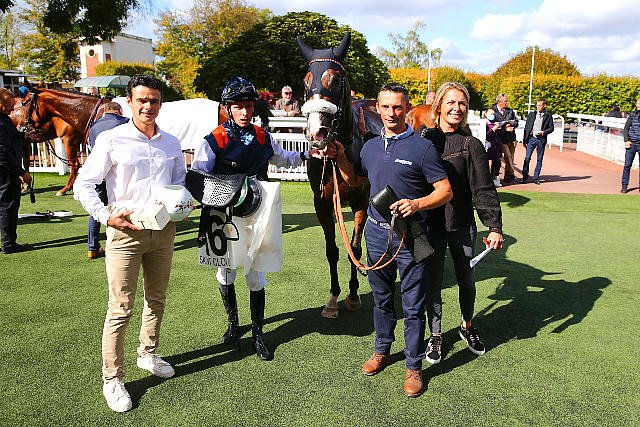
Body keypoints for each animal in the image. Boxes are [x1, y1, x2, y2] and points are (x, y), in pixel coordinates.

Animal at [297, 33, 378, 318]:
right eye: (305, 81)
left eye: (335, 79)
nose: (316, 133)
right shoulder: (322, 202)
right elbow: (332, 250)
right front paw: (333, 298)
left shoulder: (361, 201)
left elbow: (354, 248)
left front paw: (353, 295)